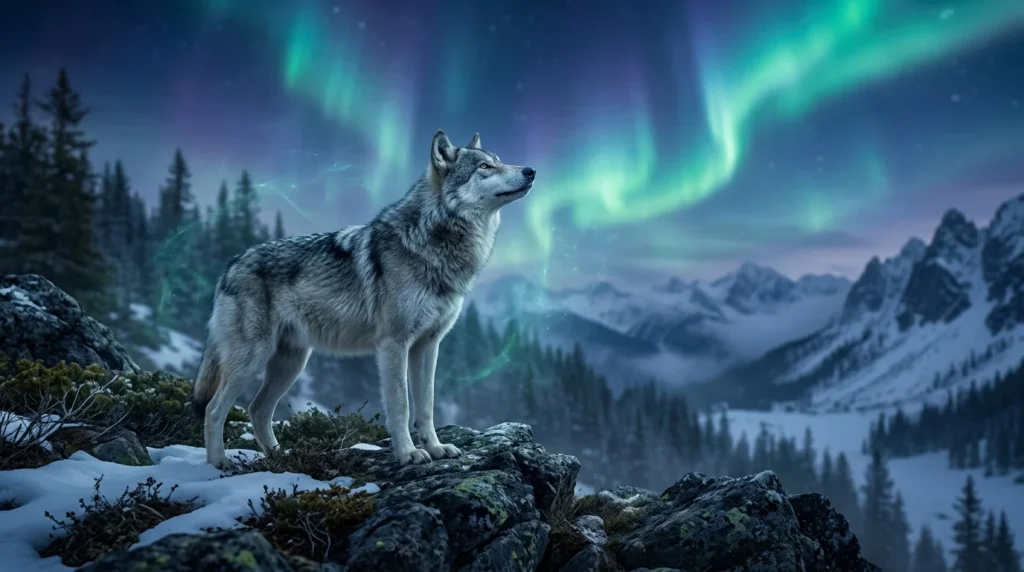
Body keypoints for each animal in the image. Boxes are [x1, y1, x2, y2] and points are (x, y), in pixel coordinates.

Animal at [190, 129, 535, 469]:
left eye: (499, 160)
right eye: (485, 167)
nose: (530, 171)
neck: (433, 243)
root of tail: (230, 265)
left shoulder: (428, 345)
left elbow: (426, 406)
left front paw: (436, 449)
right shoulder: (393, 344)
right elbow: (401, 406)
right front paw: (408, 454)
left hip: (291, 364)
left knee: (257, 409)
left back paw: (281, 458)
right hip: (253, 359)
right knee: (215, 409)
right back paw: (219, 462)